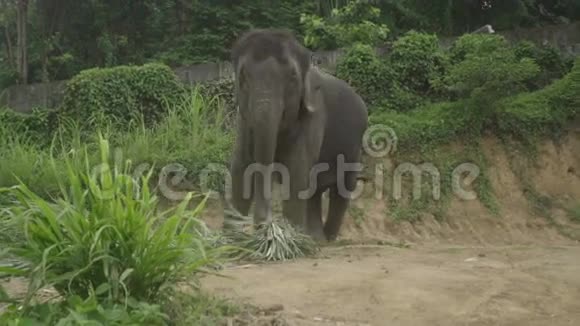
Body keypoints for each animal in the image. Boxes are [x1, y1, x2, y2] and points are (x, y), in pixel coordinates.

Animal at [225, 28, 368, 242]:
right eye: (242, 76)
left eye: (292, 77)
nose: (264, 225)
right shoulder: (243, 119)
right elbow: (241, 167)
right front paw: (229, 240)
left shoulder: (313, 116)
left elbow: (297, 170)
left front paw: (290, 237)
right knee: (315, 191)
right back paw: (315, 239)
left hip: (354, 146)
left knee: (342, 188)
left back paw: (326, 240)